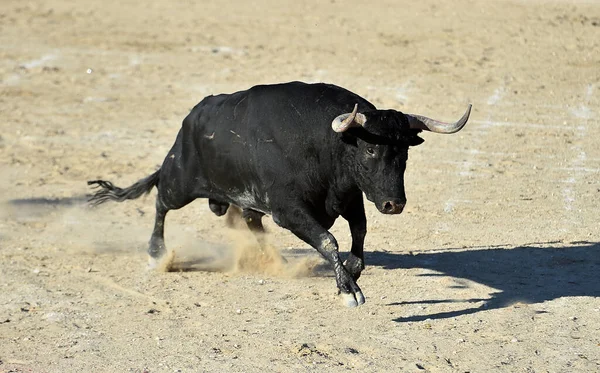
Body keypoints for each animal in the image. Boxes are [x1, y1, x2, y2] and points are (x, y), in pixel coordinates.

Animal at [89, 81, 472, 306]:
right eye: (370, 149)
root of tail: (192, 117)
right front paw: (349, 290)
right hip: (180, 178)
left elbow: (359, 232)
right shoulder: (289, 210)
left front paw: (352, 271)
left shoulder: (349, 197)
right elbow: (329, 239)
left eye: (404, 152)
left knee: (249, 220)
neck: (325, 144)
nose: (394, 204)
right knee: (161, 201)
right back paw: (157, 253)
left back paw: (278, 262)